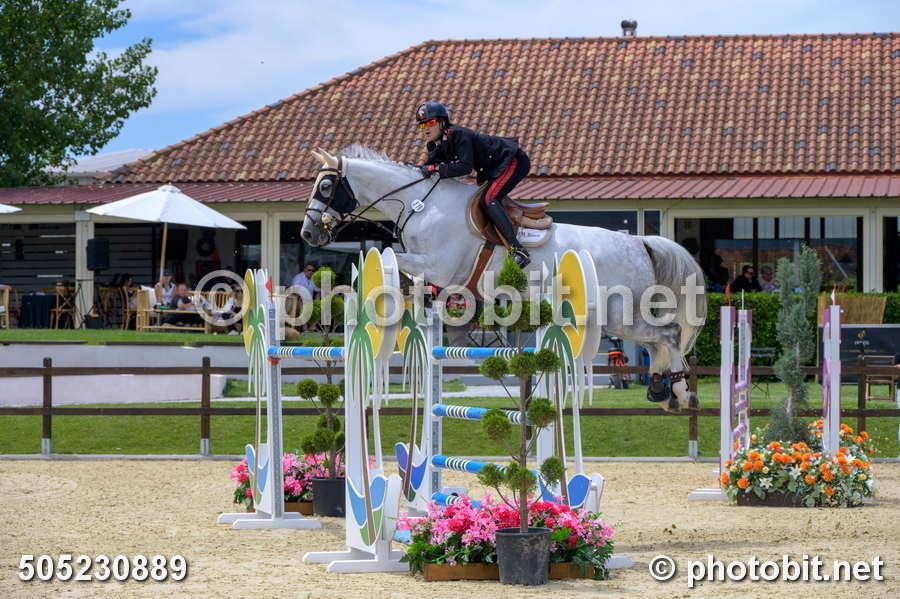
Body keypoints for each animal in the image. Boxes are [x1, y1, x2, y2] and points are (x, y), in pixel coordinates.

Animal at [300, 146, 707, 411]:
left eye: (326, 187)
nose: (307, 233)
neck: (421, 204)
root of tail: (640, 242)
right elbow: (399, 269)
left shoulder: (438, 264)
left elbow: (391, 259)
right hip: (621, 317)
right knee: (659, 342)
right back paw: (661, 392)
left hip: (620, 315)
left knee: (669, 335)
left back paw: (681, 392)